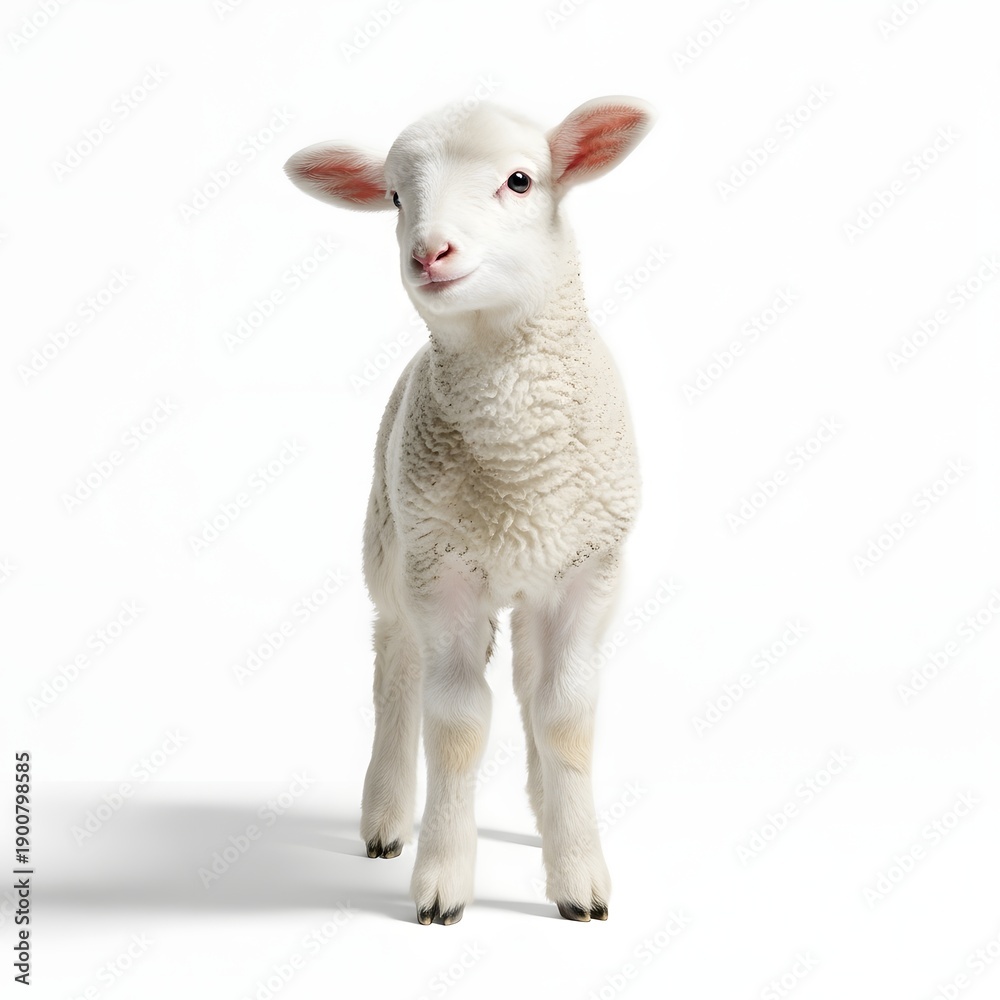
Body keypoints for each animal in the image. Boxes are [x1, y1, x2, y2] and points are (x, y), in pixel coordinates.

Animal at [284, 95, 654, 924]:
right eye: (394, 197)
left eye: (520, 181)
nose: (429, 253)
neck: (520, 466)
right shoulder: (443, 574)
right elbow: (455, 724)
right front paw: (442, 883)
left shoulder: (589, 573)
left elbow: (564, 716)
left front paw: (577, 875)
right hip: (391, 544)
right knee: (396, 667)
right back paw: (387, 817)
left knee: (526, 682)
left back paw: (543, 811)